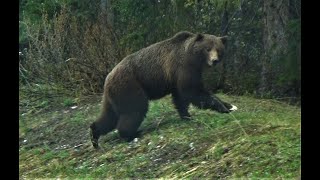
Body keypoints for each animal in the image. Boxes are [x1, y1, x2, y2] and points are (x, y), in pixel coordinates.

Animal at [89, 31, 236, 148]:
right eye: (207, 48)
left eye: (219, 49)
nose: (214, 60)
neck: (194, 59)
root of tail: (108, 78)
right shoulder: (183, 68)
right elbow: (193, 91)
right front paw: (224, 107)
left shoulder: (178, 77)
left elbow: (180, 98)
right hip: (130, 86)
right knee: (135, 110)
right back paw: (130, 134)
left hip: (114, 96)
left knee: (109, 116)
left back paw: (94, 135)